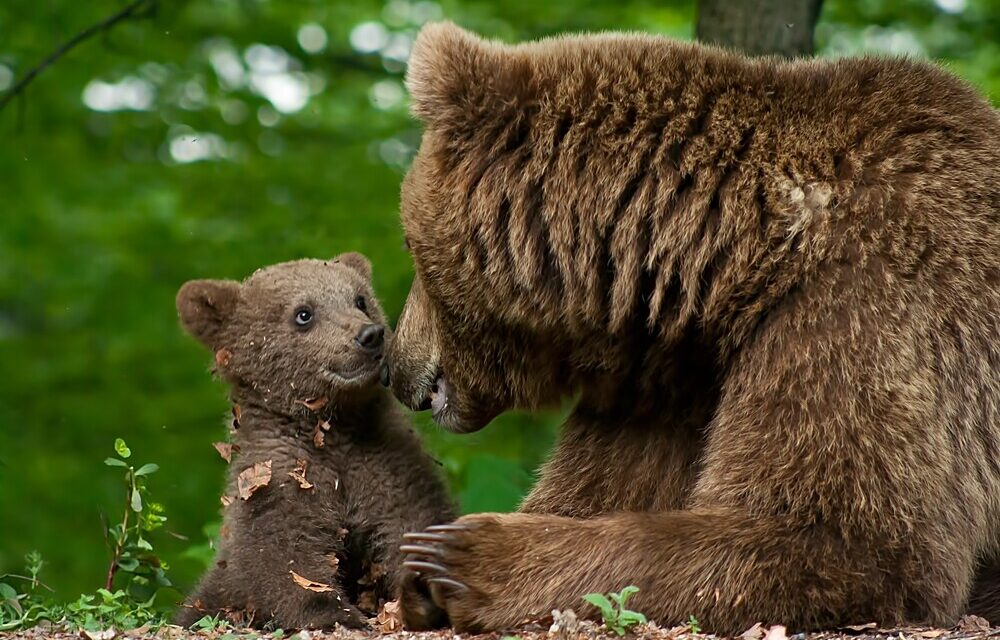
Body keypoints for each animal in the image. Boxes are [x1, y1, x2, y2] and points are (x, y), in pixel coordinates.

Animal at [382, 21, 1000, 636]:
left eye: (409, 247)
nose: (394, 364)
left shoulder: (866, 308)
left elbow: (853, 540)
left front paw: (461, 558)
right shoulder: (671, 382)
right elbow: (600, 486)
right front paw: (421, 575)